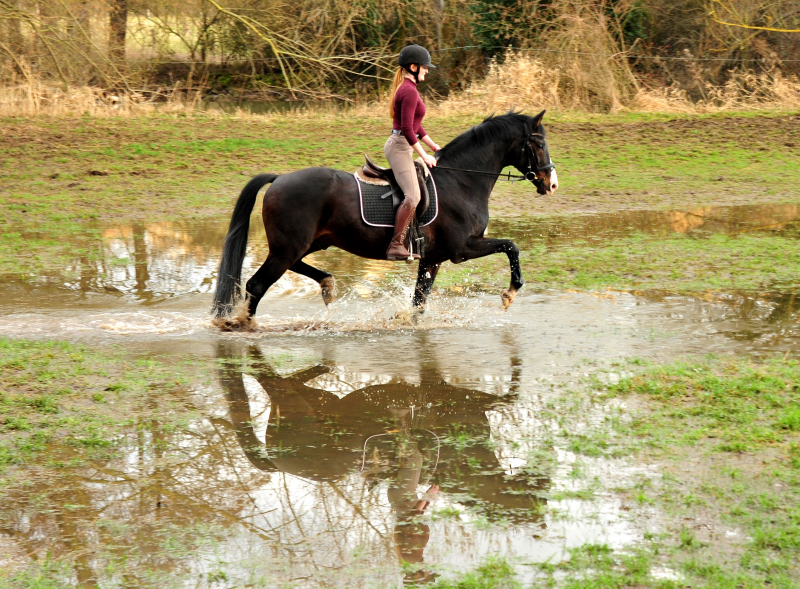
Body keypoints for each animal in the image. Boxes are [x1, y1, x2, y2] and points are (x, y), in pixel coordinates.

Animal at [211, 108, 556, 324]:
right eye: (538, 143)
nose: (551, 184)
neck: (461, 181)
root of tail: (279, 178)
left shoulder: (433, 259)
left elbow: (419, 302)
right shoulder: (461, 249)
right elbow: (511, 246)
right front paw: (510, 293)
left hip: (306, 243)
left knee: (290, 268)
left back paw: (327, 285)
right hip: (289, 246)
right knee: (257, 284)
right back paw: (244, 325)